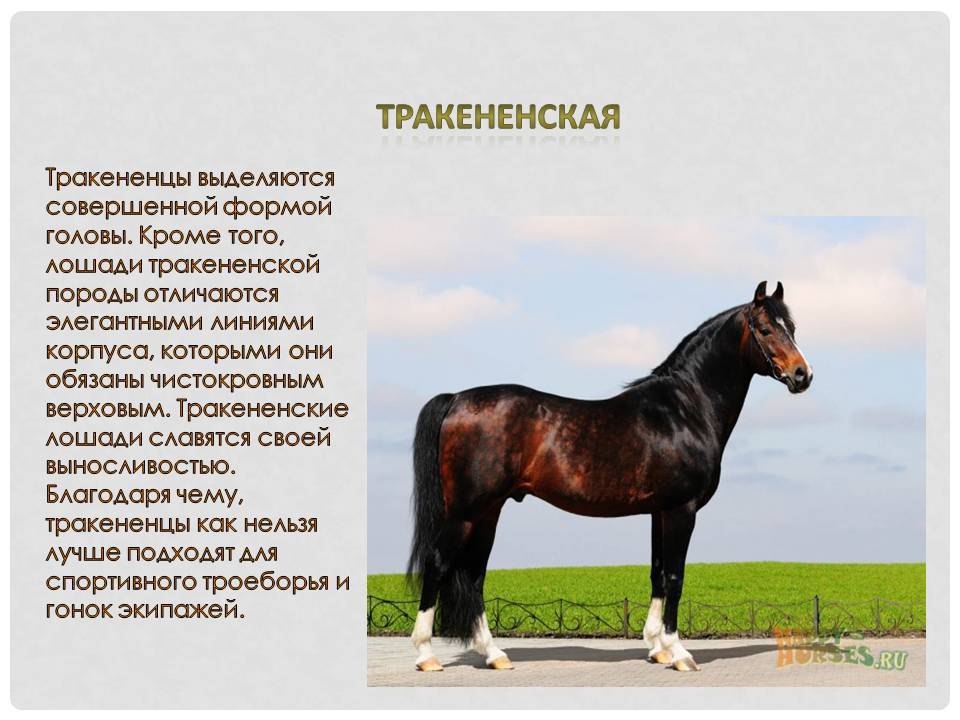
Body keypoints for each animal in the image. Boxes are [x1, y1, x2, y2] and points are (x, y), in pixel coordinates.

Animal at [405, 281, 812, 672]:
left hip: (488, 512)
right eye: (765, 329)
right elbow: (675, 577)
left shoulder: (659, 512)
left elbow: (657, 574)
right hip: (465, 513)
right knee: (438, 565)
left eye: (792, 328)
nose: (802, 375)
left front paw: (657, 648)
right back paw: (427, 655)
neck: (683, 410)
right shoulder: (681, 511)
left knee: (474, 576)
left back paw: (494, 654)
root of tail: (456, 399)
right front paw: (679, 653)